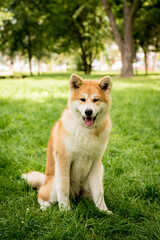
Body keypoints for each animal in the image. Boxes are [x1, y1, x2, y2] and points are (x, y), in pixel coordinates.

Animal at [22, 74, 112, 213]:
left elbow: (99, 191)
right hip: (53, 181)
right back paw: (45, 206)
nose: (88, 111)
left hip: (94, 177)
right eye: (82, 99)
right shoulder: (64, 160)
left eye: (95, 100)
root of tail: (44, 180)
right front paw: (65, 211)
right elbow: (63, 189)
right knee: (41, 195)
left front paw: (103, 210)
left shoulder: (96, 162)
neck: (85, 131)